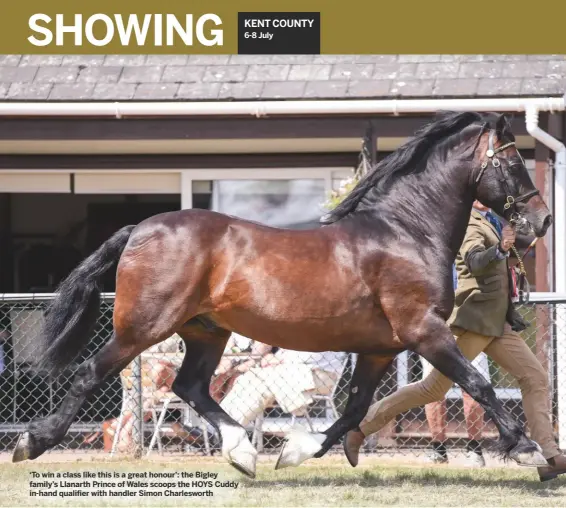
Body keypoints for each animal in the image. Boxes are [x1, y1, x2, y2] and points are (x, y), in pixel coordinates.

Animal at [13, 110, 556, 476]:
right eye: (512, 162)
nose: (542, 220)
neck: (404, 231)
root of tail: (140, 229)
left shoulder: (379, 349)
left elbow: (355, 408)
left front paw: (295, 452)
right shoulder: (424, 331)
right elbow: (478, 383)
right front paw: (525, 448)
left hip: (206, 332)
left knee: (191, 388)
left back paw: (243, 452)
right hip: (143, 327)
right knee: (91, 374)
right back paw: (31, 443)